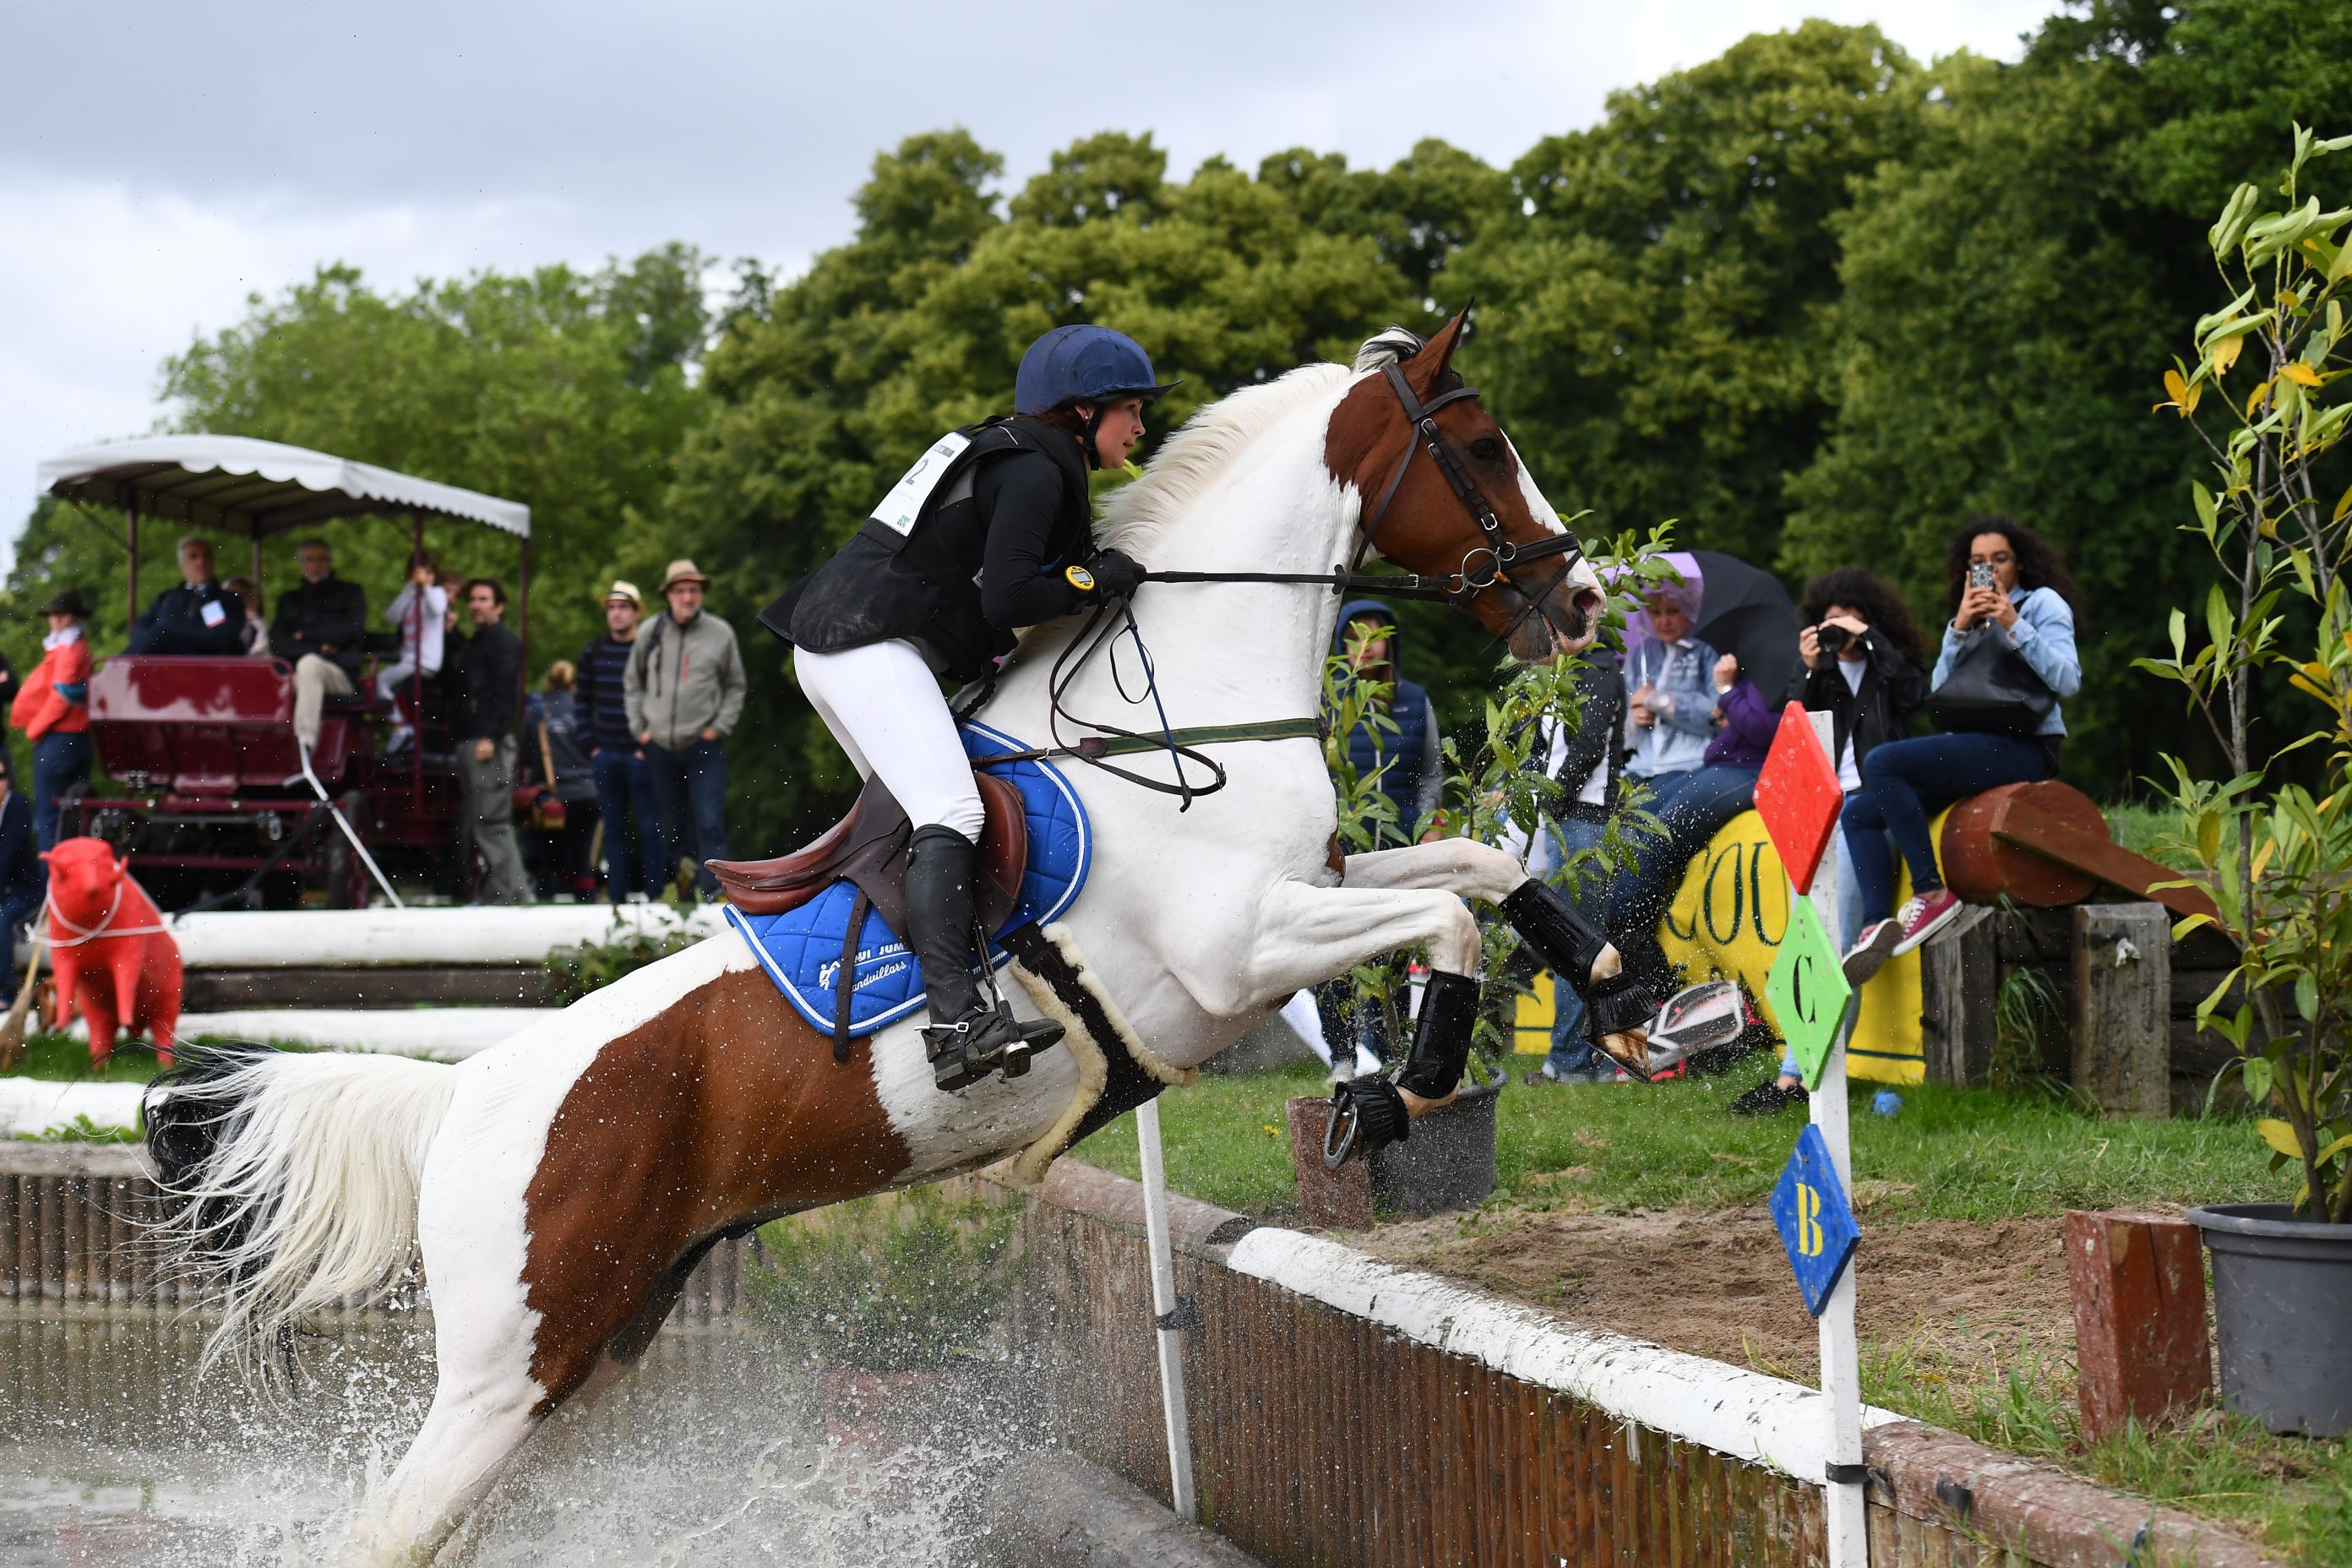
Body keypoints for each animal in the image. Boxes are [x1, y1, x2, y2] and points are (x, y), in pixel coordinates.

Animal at [151, 313, 1636, 1560]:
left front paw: (1614, 988)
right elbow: (1438, 911)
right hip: (508, 1368)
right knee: (390, 1527)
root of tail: (458, 1100)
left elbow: (1479, 870)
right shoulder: (1237, 953)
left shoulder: (1309, 885)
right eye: (1484, 445)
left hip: (594, 1353)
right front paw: (1407, 1087)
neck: (1176, 706)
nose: (1581, 607)